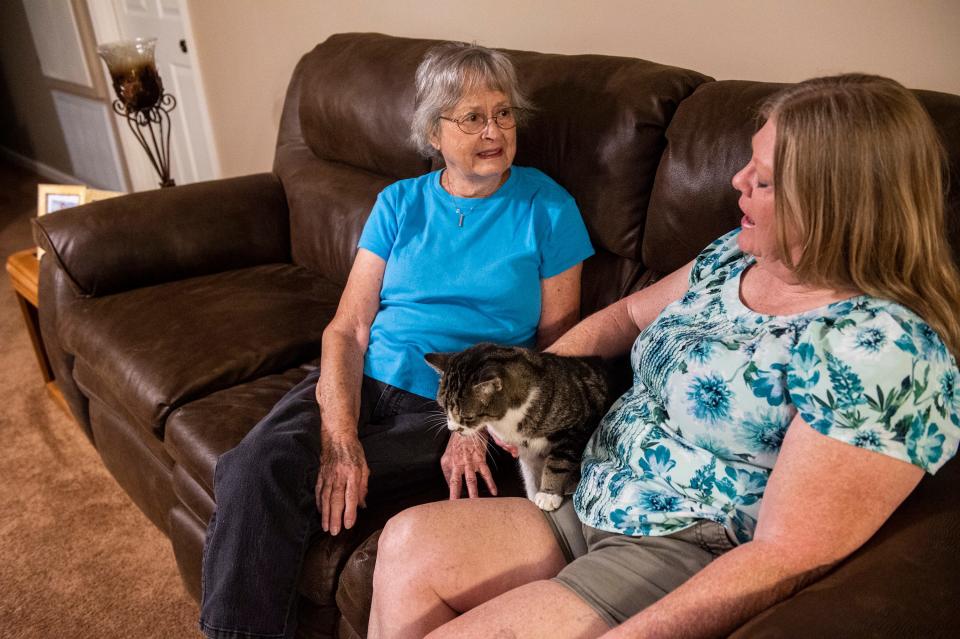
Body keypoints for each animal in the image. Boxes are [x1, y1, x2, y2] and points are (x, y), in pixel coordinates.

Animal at [426, 342, 608, 512]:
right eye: (443, 408)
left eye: (467, 417)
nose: (452, 429)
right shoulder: (526, 451)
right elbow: (530, 476)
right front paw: (534, 495)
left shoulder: (578, 427)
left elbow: (558, 462)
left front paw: (548, 495)